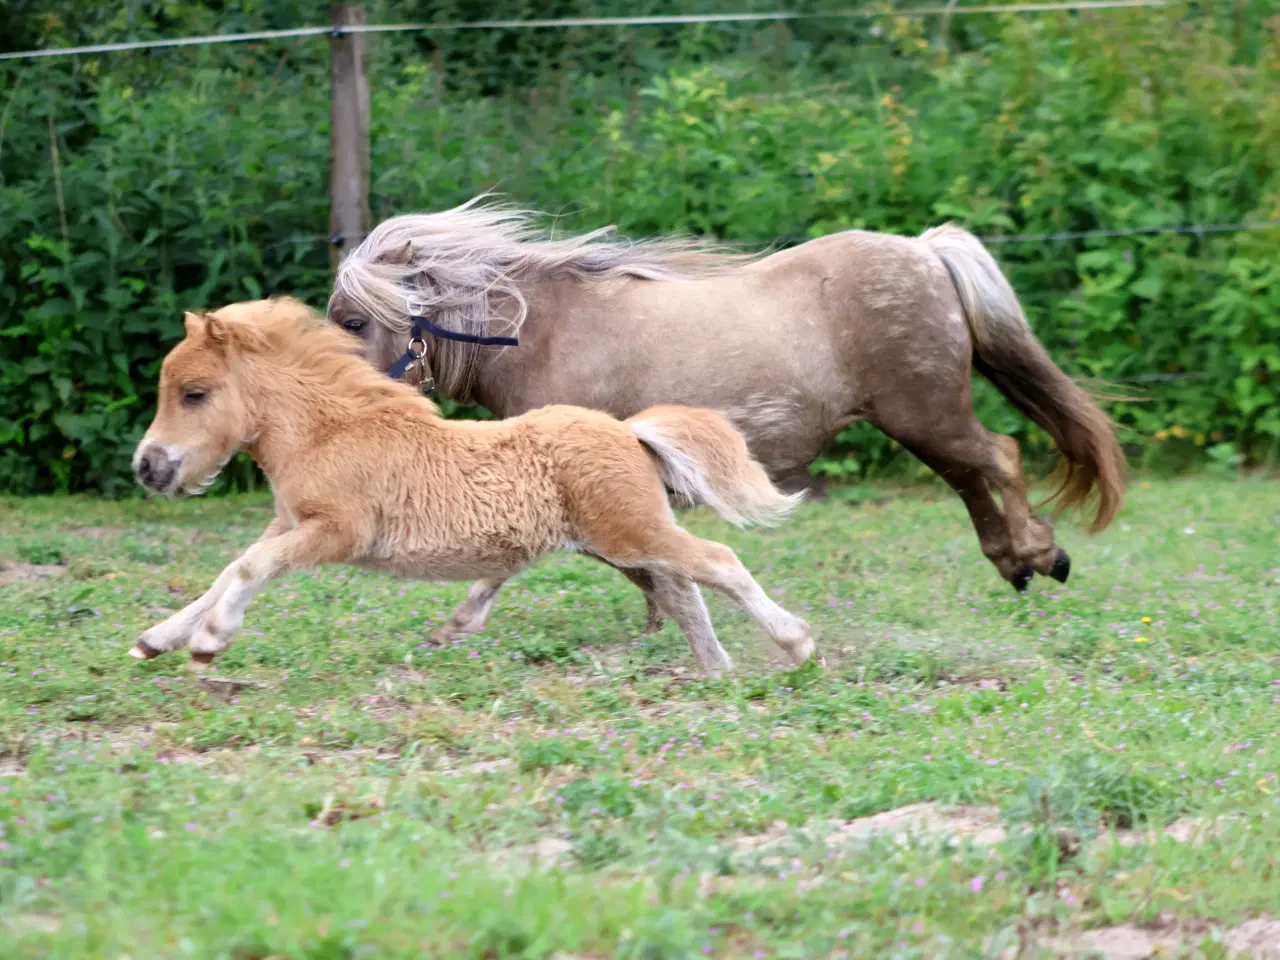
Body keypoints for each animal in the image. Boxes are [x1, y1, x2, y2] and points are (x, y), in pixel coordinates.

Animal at [127, 300, 808, 675]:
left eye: (195, 394)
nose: (147, 467)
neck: (328, 432)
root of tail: (629, 431)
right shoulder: (288, 524)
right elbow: (232, 568)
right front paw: (158, 640)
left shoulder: (338, 531)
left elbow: (250, 568)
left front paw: (210, 643)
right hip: (625, 543)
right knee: (683, 590)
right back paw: (718, 671)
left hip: (631, 532)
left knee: (718, 562)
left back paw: (795, 643)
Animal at [325, 195, 1126, 640]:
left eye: (353, 320)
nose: (340, 401)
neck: (542, 334)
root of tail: (925, 252)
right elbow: (638, 563)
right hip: (920, 422)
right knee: (970, 477)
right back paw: (1014, 563)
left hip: (926, 415)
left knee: (1002, 458)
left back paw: (1040, 555)